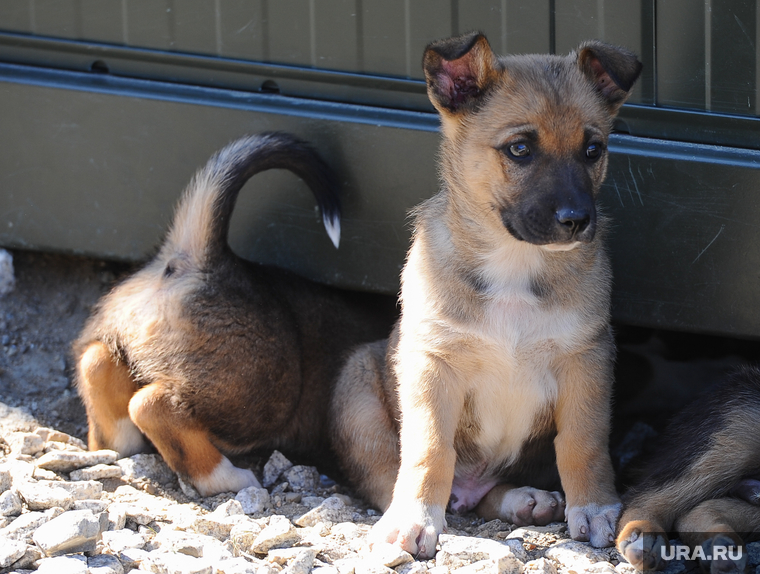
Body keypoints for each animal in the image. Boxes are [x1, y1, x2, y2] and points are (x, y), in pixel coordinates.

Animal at [75, 133, 398, 498]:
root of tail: (201, 258)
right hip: (262, 396)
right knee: (152, 406)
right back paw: (227, 477)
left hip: (123, 342)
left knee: (97, 362)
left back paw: (119, 444)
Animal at [332, 33, 640, 560]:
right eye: (519, 149)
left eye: (593, 149)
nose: (577, 220)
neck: (514, 265)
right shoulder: (433, 362)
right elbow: (429, 449)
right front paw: (416, 519)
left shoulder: (587, 358)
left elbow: (582, 442)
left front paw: (595, 506)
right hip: (357, 398)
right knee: (394, 477)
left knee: (484, 496)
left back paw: (526, 500)